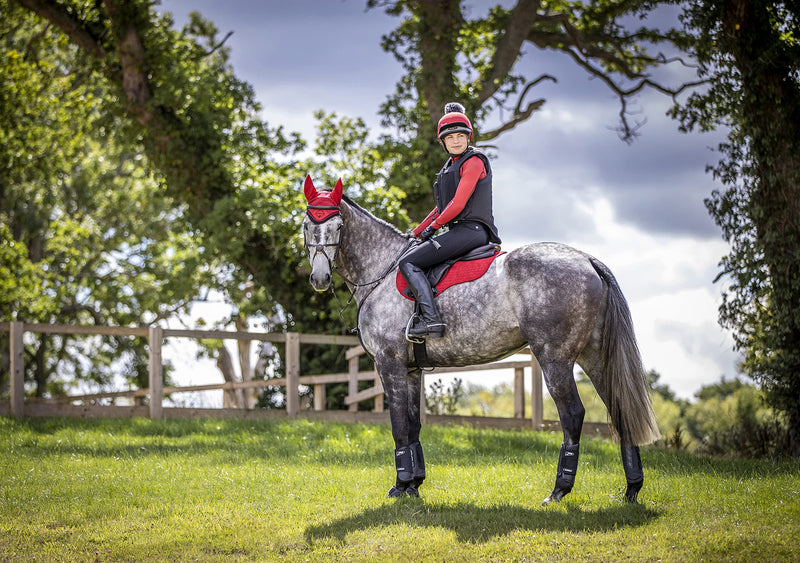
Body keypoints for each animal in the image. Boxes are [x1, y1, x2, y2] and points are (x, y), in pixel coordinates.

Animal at [304, 174, 660, 504]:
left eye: (338, 226)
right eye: (307, 225)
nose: (319, 278)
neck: (383, 271)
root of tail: (586, 259)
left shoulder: (388, 364)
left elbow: (399, 425)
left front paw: (401, 486)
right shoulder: (411, 370)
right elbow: (414, 425)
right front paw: (415, 484)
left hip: (554, 358)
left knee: (572, 415)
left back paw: (559, 490)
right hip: (593, 355)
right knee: (618, 408)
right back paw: (632, 489)